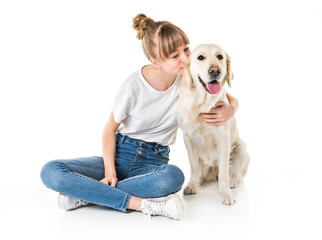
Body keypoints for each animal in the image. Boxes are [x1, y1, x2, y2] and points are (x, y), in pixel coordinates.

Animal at [177, 43, 250, 204]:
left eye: (220, 57)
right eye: (200, 57)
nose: (215, 70)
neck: (202, 104)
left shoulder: (223, 137)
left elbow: (223, 170)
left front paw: (226, 193)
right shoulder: (188, 137)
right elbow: (194, 166)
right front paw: (192, 185)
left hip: (241, 147)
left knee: (236, 172)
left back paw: (233, 180)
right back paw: (199, 181)